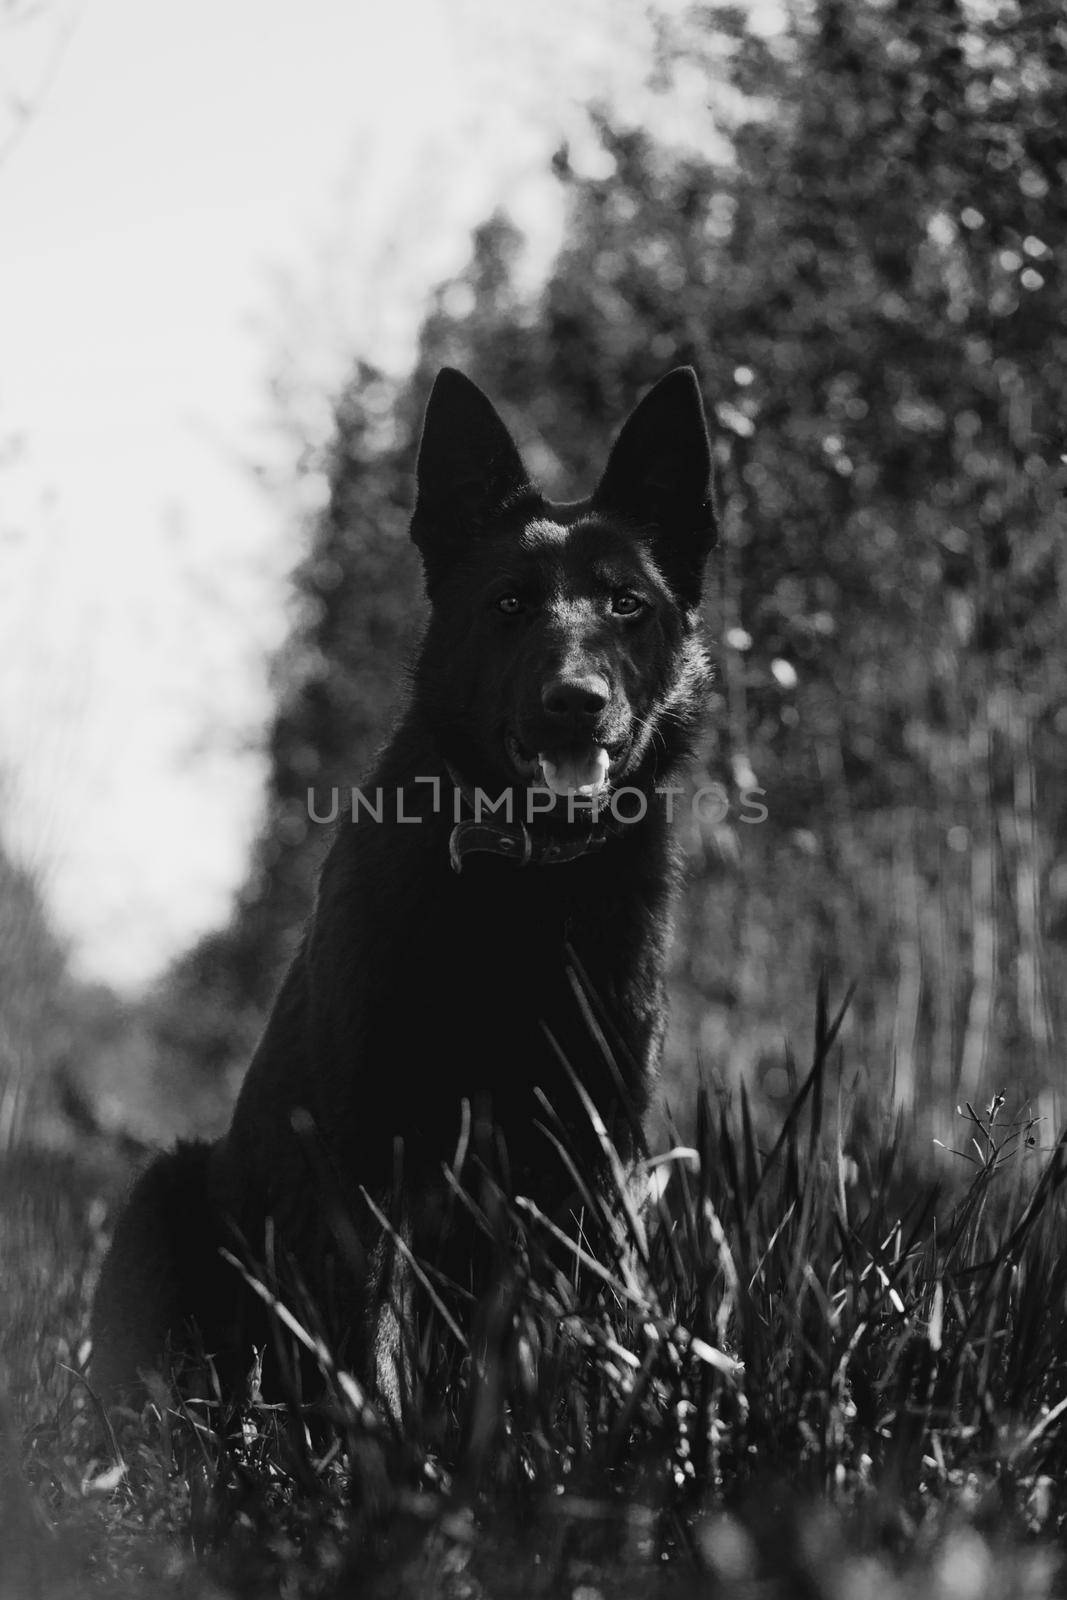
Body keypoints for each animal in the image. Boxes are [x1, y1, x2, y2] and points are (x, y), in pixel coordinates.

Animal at [89, 371, 716, 1414]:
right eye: (510, 602)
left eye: (626, 603)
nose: (575, 701)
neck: (520, 884)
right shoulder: (368, 1151)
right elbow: (370, 1337)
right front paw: (382, 1451)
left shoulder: (590, 1159)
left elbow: (566, 1342)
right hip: (167, 1192)